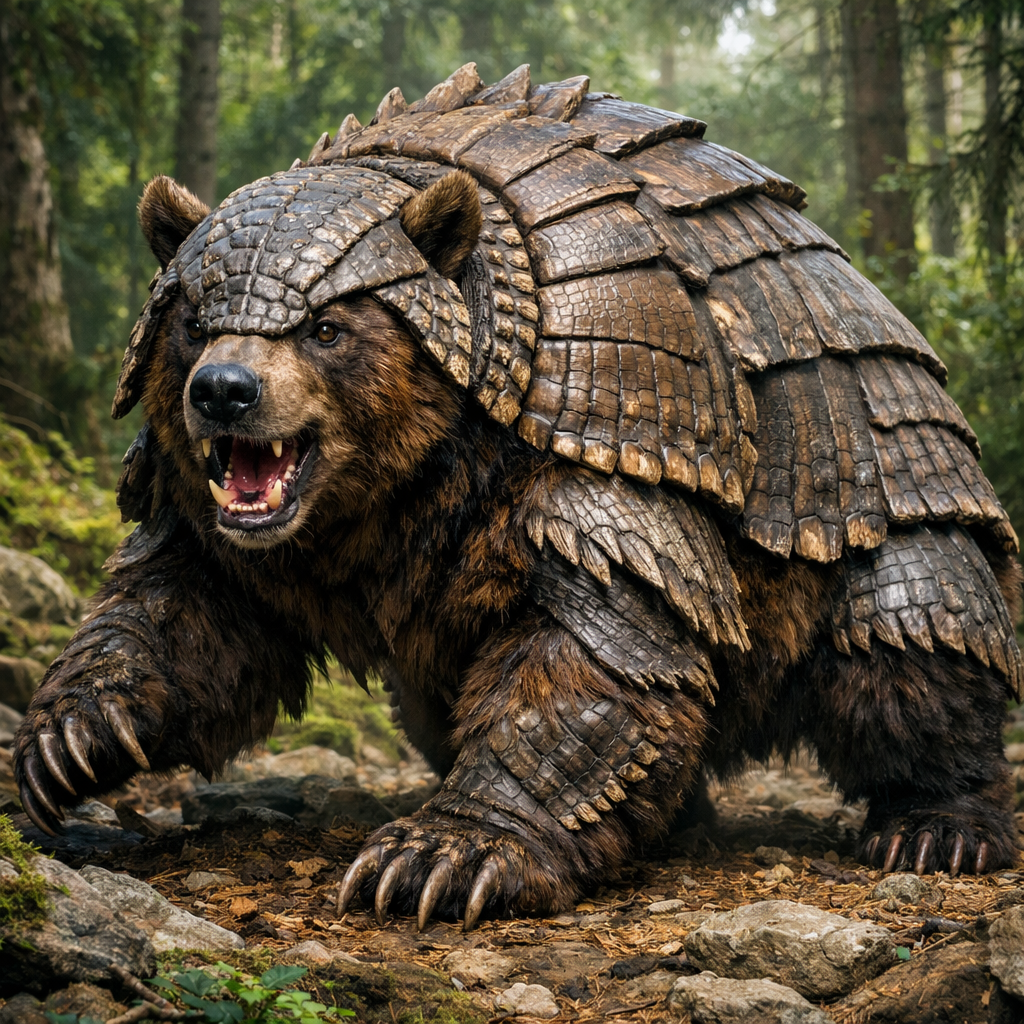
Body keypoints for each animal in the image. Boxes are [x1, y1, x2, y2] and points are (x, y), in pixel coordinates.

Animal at [14, 65, 1022, 931]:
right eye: (192, 320)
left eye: (328, 326)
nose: (224, 390)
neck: (403, 481)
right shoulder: (227, 523)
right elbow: (187, 612)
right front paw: (68, 742)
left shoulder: (610, 421)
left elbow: (599, 644)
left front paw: (440, 858)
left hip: (879, 475)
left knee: (905, 648)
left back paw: (939, 827)